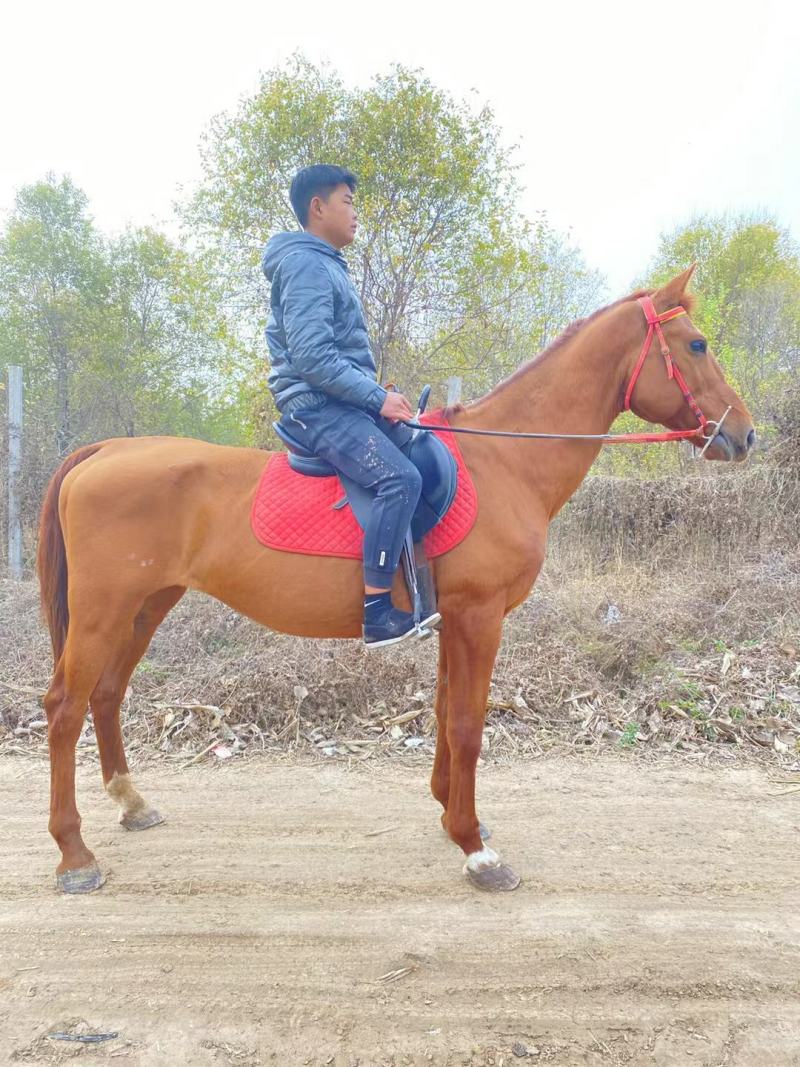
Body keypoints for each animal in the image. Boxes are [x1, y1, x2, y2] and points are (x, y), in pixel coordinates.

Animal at [36, 266, 755, 894]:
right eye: (697, 344)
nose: (745, 435)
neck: (504, 460)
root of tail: (103, 450)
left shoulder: (452, 619)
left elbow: (443, 712)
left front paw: (450, 812)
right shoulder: (479, 616)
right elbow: (467, 724)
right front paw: (475, 847)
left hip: (146, 605)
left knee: (106, 694)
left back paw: (132, 802)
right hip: (104, 611)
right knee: (66, 708)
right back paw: (74, 853)